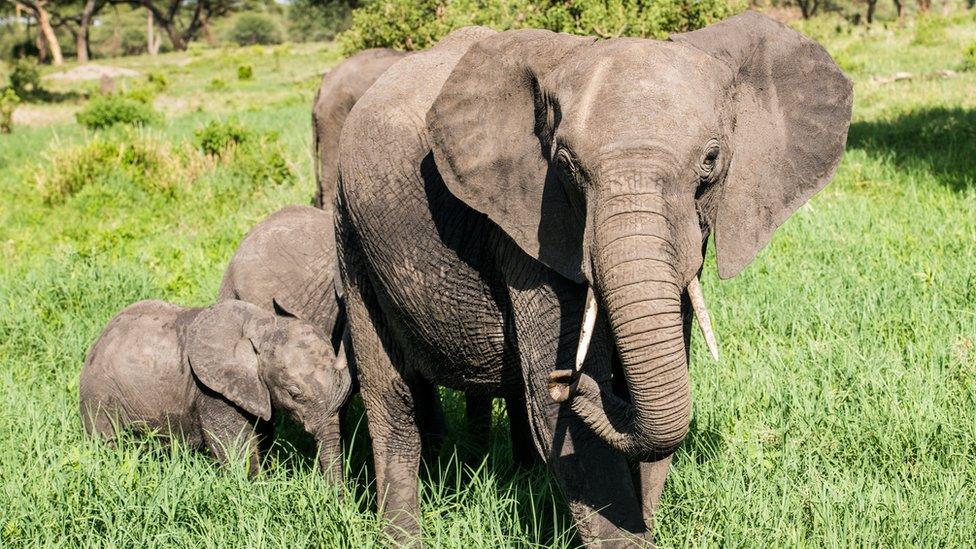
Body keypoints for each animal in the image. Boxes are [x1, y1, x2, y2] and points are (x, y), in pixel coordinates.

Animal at [80, 298, 352, 478]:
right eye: (294, 394)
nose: (336, 503)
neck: (264, 326)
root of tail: (98, 340)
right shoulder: (212, 390)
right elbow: (235, 450)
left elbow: (262, 433)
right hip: (100, 393)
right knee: (107, 441)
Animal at [338, 12, 856, 544]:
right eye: (565, 167)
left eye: (711, 161)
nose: (567, 379)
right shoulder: (533, 227)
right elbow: (564, 421)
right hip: (352, 234)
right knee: (392, 404)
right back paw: (403, 534)